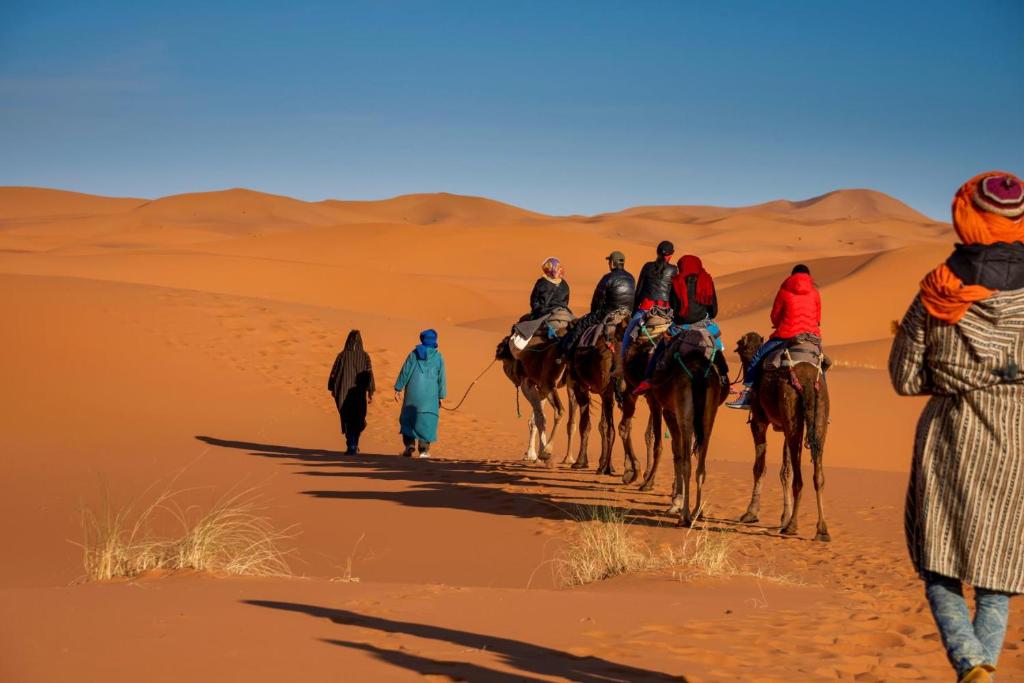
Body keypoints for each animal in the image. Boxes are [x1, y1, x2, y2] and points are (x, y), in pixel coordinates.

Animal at [493, 333, 569, 466]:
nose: (497, 351)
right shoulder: (540, 387)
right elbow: (536, 418)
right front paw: (532, 454)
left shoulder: (528, 383)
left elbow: (540, 417)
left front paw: (539, 453)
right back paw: (569, 458)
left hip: (549, 383)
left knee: (560, 410)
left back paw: (549, 450)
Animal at [647, 333, 729, 528]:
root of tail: (698, 372)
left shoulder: (670, 412)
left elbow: (677, 454)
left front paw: (675, 502)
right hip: (708, 417)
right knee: (701, 466)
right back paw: (697, 512)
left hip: (685, 414)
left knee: (687, 463)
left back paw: (684, 516)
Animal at [733, 333, 827, 540]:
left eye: (740, 346)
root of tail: (808, 380)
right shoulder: (784, 426)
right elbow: (786, 471)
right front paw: (784, 516)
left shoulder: (759, 421)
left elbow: (760, 467)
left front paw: (751, 513)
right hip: (818, 419)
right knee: (818, 474)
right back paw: (822, 530)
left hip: (791, 412)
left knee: (799, 479)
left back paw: (792, 526)